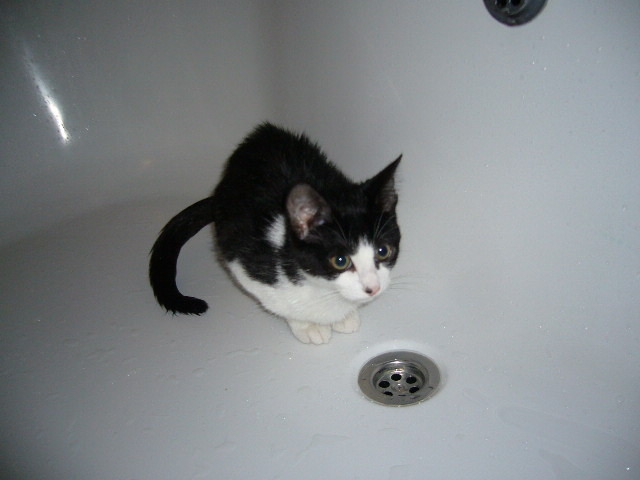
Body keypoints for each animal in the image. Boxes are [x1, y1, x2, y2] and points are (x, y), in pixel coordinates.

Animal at [149, 123, 401, 344]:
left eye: (383, 250)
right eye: (340, 261)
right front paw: (308, 325)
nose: (373, 288)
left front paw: (345, 315)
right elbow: (280, 303)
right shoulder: (244, 260)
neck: (321, 287)